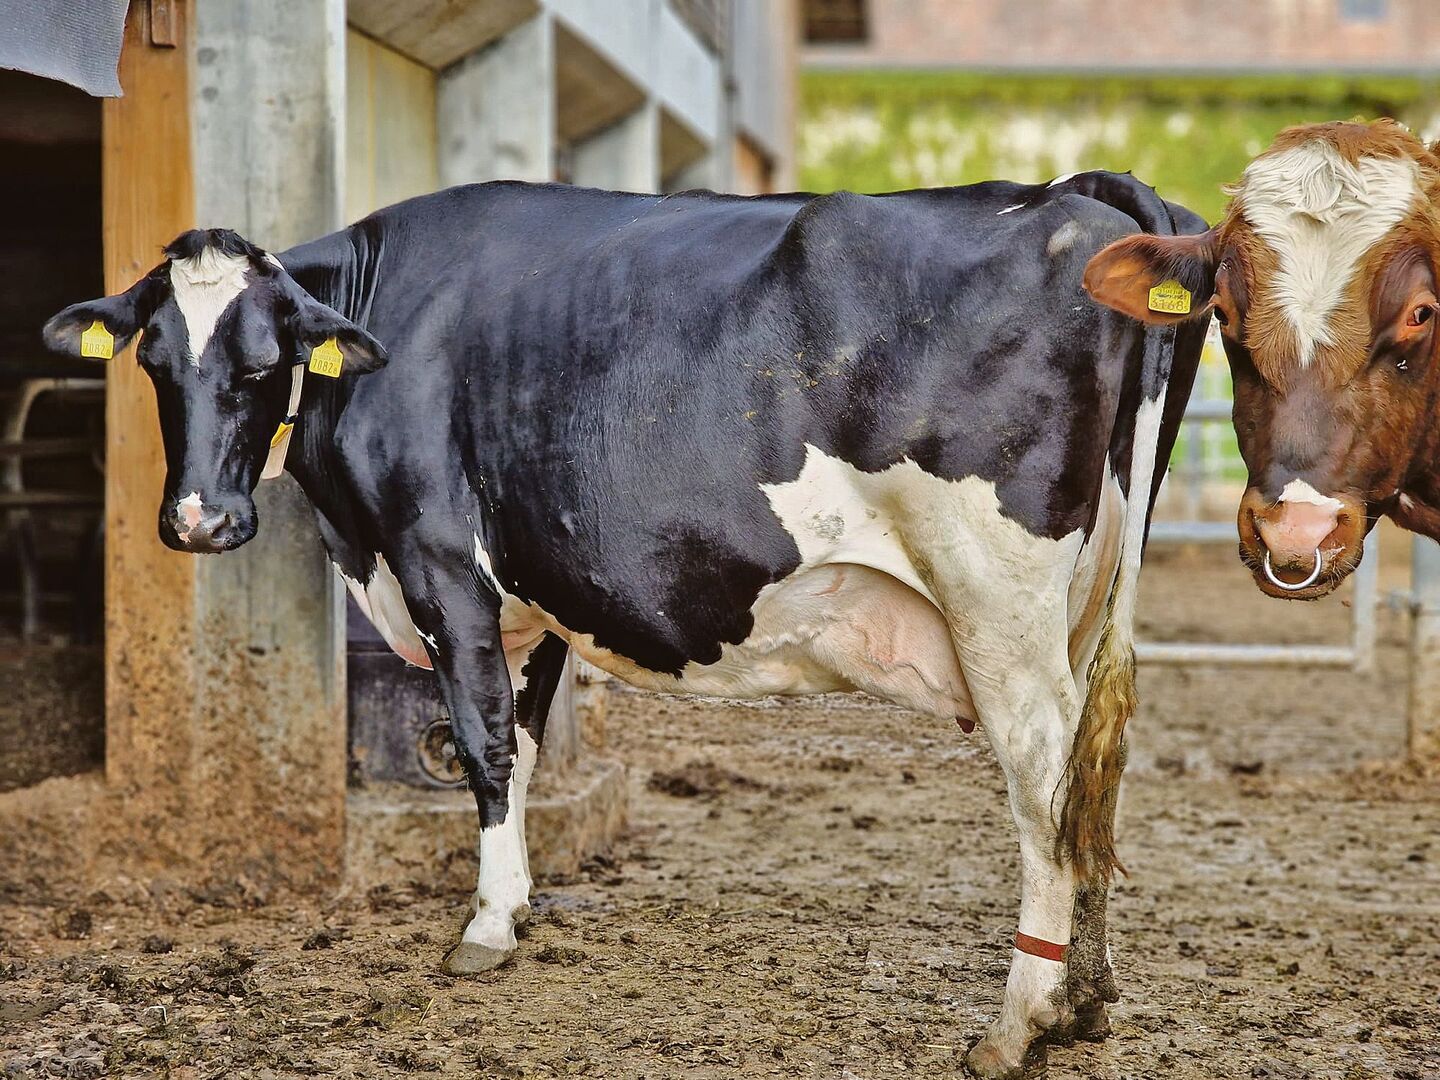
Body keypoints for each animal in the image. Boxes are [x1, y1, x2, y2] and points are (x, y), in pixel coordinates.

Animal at [45, 175, 1206, 1078]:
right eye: (154, 363)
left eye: (259, 361)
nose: (199, 521)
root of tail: (1078, 194)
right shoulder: (540, 587)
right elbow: (521, 738)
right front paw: (516, 903)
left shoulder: (439, 562)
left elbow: (482, 744)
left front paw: (484, 928)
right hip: (1083, 597)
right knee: (1090, 777)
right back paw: (1086, 997)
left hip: (998, 600)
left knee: (1043, 782)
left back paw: (1019, 1022)